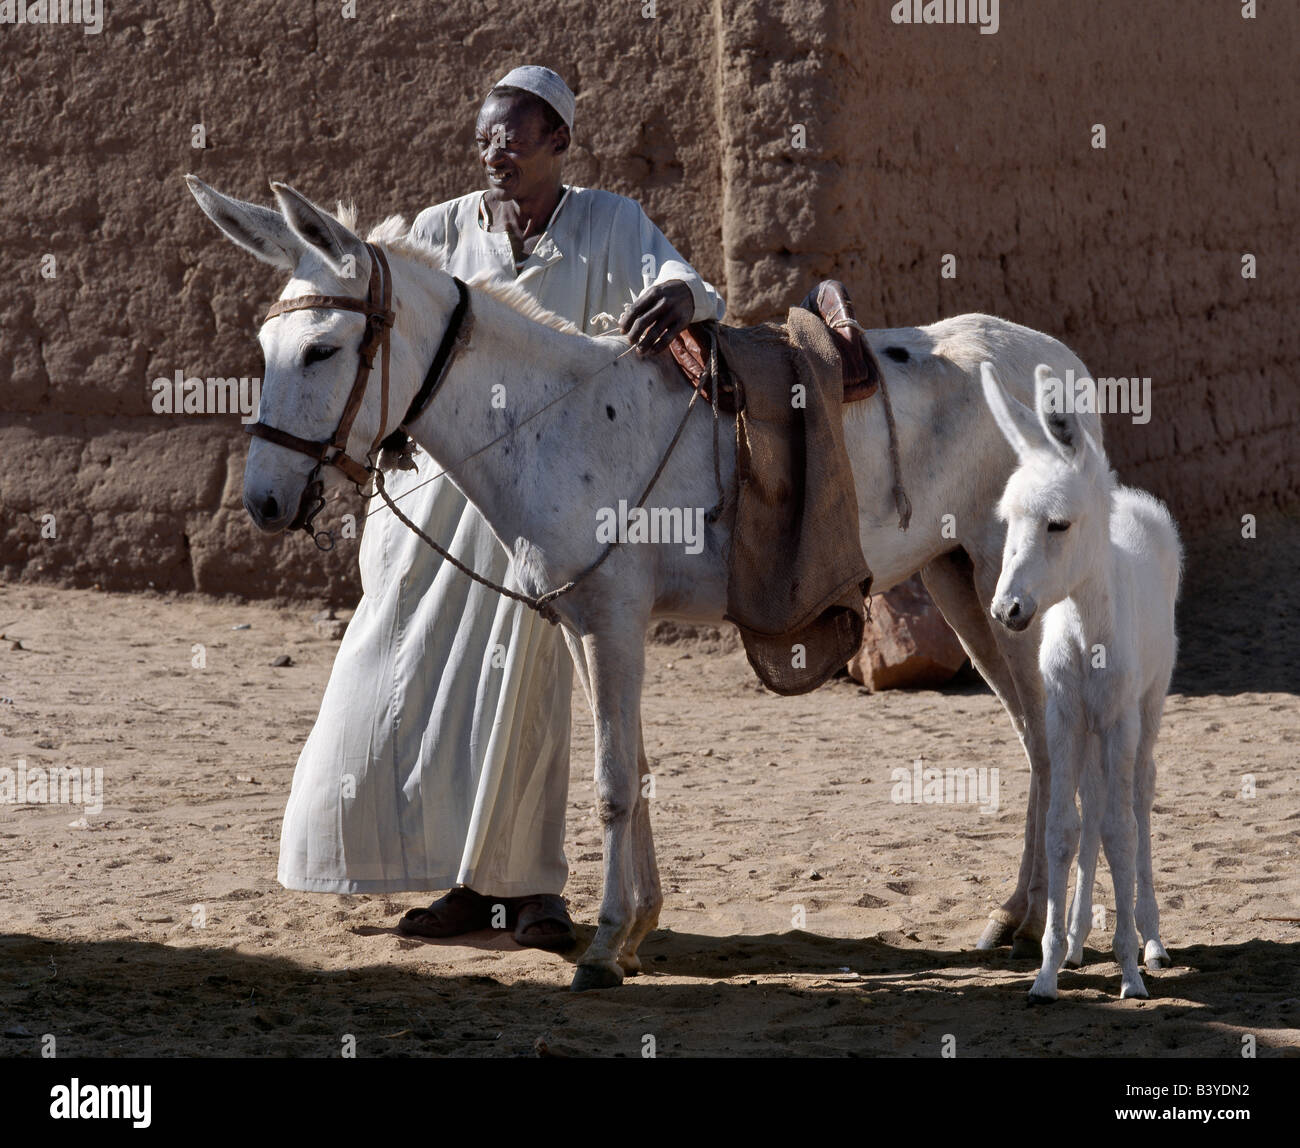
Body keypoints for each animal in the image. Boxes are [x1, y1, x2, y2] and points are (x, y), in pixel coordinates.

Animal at [186, 176, 1103, 991]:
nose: (265, 501)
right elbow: (635, 767)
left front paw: (601, 946)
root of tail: (1060, 362)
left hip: (1008, 589)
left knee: (1053, 737)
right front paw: (637, 930)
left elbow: (614, 782)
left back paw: (1048, 927)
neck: (551, 416)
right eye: (266, 351)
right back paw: (1015, 918)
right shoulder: (583, 622)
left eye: (322, 350)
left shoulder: (612, 620)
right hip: (962, 584)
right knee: (1035, 737)